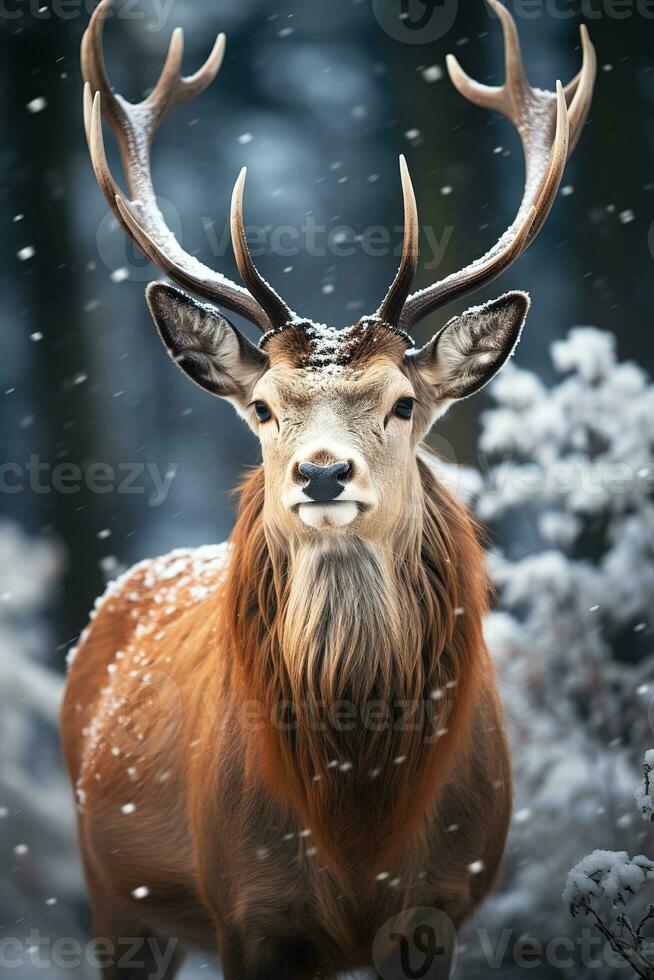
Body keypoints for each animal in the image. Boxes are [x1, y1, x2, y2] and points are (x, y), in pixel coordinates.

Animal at [62, 0, 600, 976]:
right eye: (264, 407)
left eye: (402, 402)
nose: (321, 471)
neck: (357, 822)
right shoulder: (251, 910)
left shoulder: (441, 900)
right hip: (111, 891)